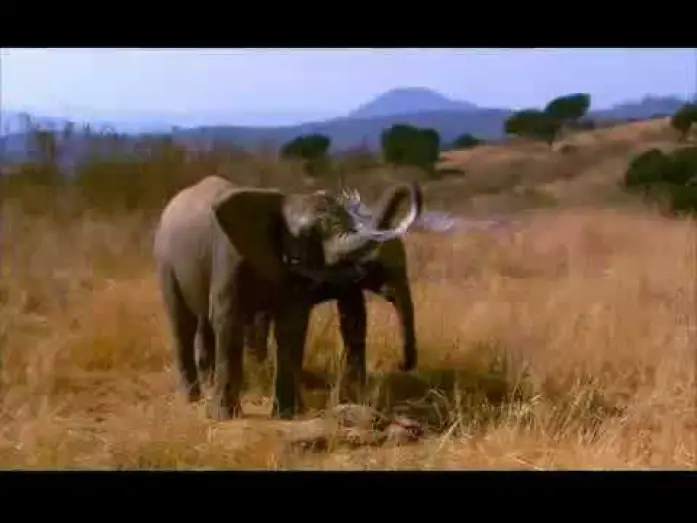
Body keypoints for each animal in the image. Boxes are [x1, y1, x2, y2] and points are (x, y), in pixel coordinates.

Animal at [153, 175, 423, 420]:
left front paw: (287, 415)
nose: (401, 365)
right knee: (183, 324)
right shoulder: (229, 256)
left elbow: (294, 326)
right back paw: (192, 399)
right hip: (165, 261)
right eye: (307, 235)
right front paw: (224, 418)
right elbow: (229, 320)